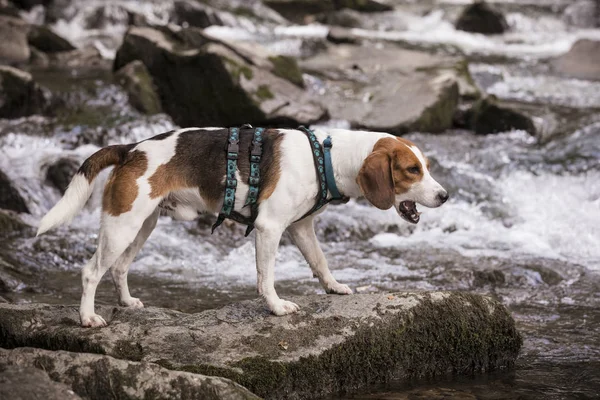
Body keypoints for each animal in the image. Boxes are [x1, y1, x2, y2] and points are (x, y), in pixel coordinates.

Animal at [37, 126, 448, 326]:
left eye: (425, 166)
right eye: (412, 170)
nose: (445, 196)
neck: (329, 154)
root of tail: (130, 148)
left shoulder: (301, 229)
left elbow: (320, 263)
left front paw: (334, 287)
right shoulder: (269, 228)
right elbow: (266, 278)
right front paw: (276, 308)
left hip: (141, 225)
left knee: (119, 268)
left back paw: (127, 302)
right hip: (122, 225)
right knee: (91, 271)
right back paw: (88, 318)